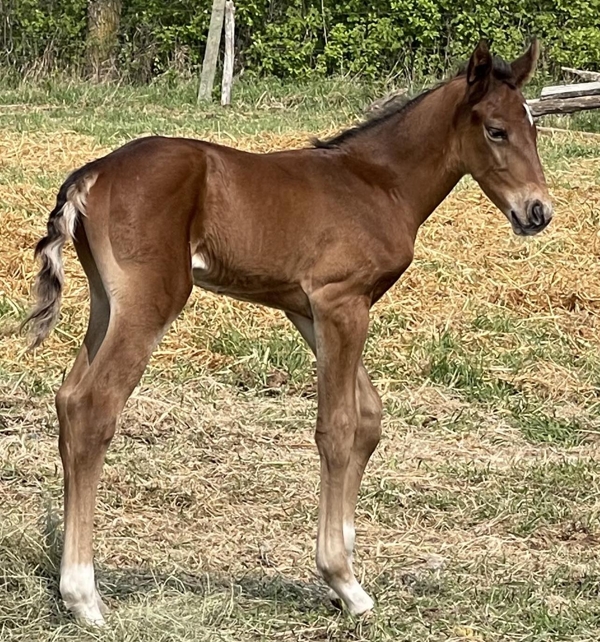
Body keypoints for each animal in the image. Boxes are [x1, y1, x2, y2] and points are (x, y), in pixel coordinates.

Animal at [24, 40, 552, 625]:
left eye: (534, 127)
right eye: (496, 131)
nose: (538, 211)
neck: (377, 183)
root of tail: (92, 172)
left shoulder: (308, 310)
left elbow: (368, 419)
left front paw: (344, 568)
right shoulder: (342, 303)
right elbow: (337, 427)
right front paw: (343, 580)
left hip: (104, 303)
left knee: (69, 399)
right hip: (149, 303)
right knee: (94, 407)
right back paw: (83, 595)